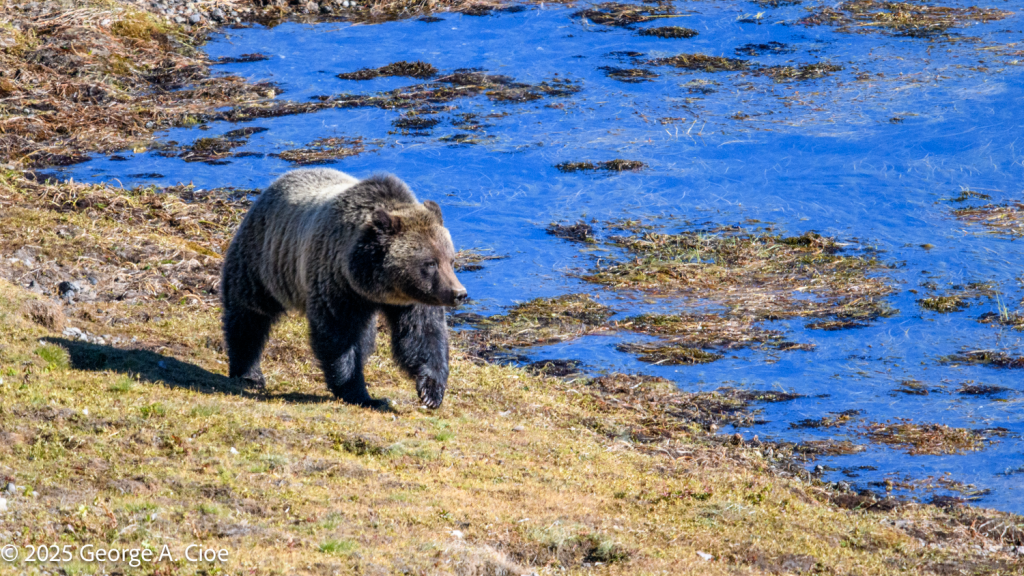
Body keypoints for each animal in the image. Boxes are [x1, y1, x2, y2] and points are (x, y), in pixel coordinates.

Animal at [219, 168, 467, 409]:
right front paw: (361, 394)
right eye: (430, 263)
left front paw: (431, 391)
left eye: (450, 260)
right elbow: (338, 338)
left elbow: (423, 334)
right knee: (248, 315)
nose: (459, 294)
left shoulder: (412, 300)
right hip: (264, 261)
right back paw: (248, 373)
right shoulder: (336, 284)